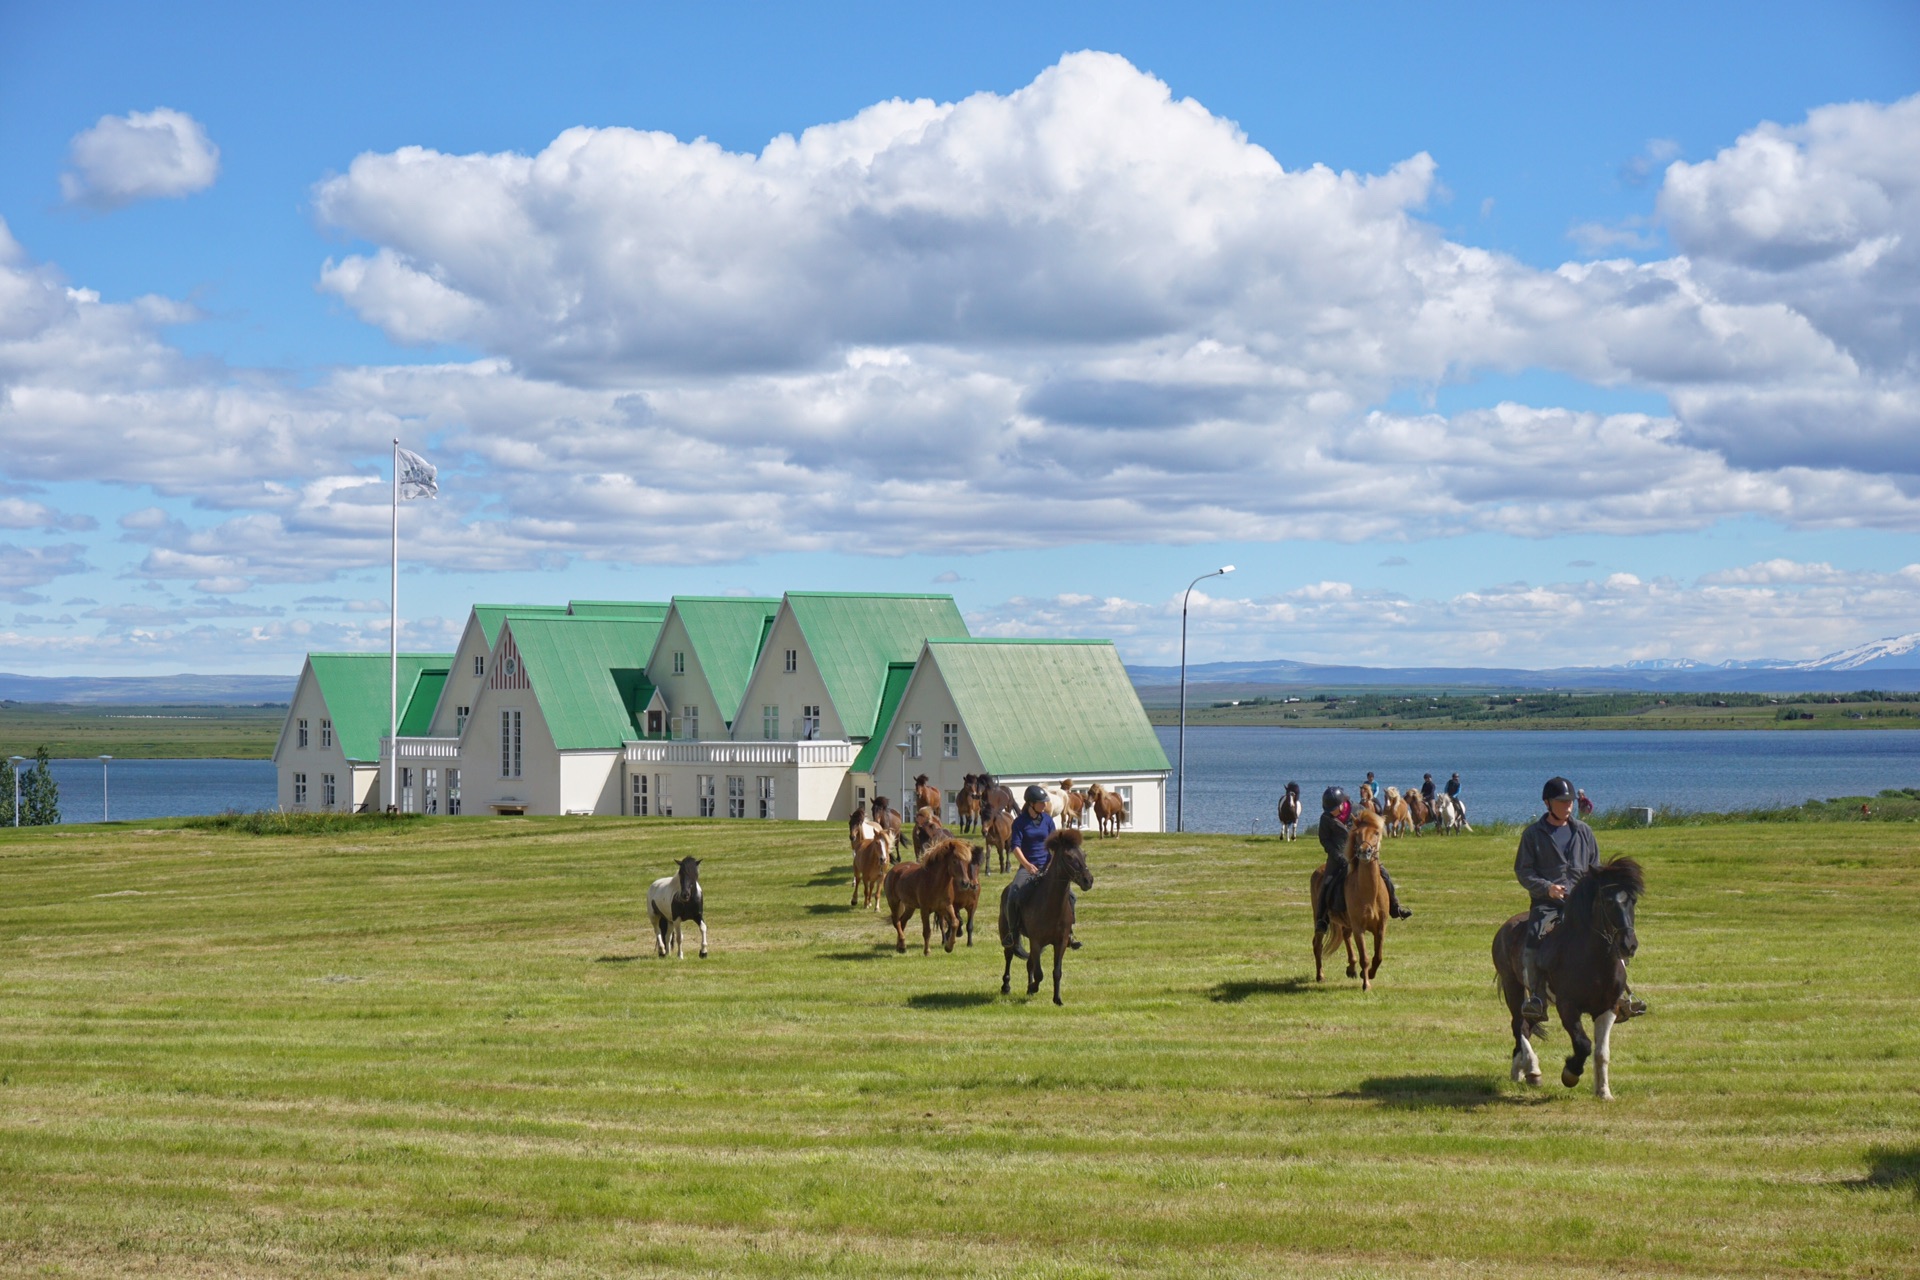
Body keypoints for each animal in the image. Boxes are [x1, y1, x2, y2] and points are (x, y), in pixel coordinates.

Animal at [998, 836, 1090, 1005]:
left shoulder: (1061, 942)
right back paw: (1006, 987)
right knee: (1009, 955)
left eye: (1084, 855)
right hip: (1006, 932)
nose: (1088, 880)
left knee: (1029, 963)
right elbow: (1039, 973)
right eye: (1069, 857)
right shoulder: (1037, 941)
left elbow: (1057, 971)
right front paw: (1034, 987)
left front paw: (1057, 999)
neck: (1052, 906)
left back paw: (1028, 989)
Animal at [1305, 809, 1397, 990]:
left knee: (1345, 935)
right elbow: (1365, 958)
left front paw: (1368, 974)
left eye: (1376, 832)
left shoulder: (1381, 927)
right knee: (1317, 944)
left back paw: (1352, 969)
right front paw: (1366, 984)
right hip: (1320, 919)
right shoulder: (1358, 928)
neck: (1368, 893)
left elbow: (1378, 956)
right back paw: (1320, 976)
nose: (1364, 852)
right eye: (1358, 834)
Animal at [1489, 859, 1643, 1105]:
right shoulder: (1568, 1007)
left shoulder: (1608, 1008)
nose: (1628, 945)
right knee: (1519, 1025)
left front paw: (1604, 1092)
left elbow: (1602, 1053)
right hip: (1513, 986)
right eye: (1608, 901)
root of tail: (1507, 926)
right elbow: (1583, 1044)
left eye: (1632, 900)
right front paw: (1570, 1073)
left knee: (1527, 1025)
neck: (1592, 961)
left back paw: (1520, 1071)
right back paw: (1532, 1069)